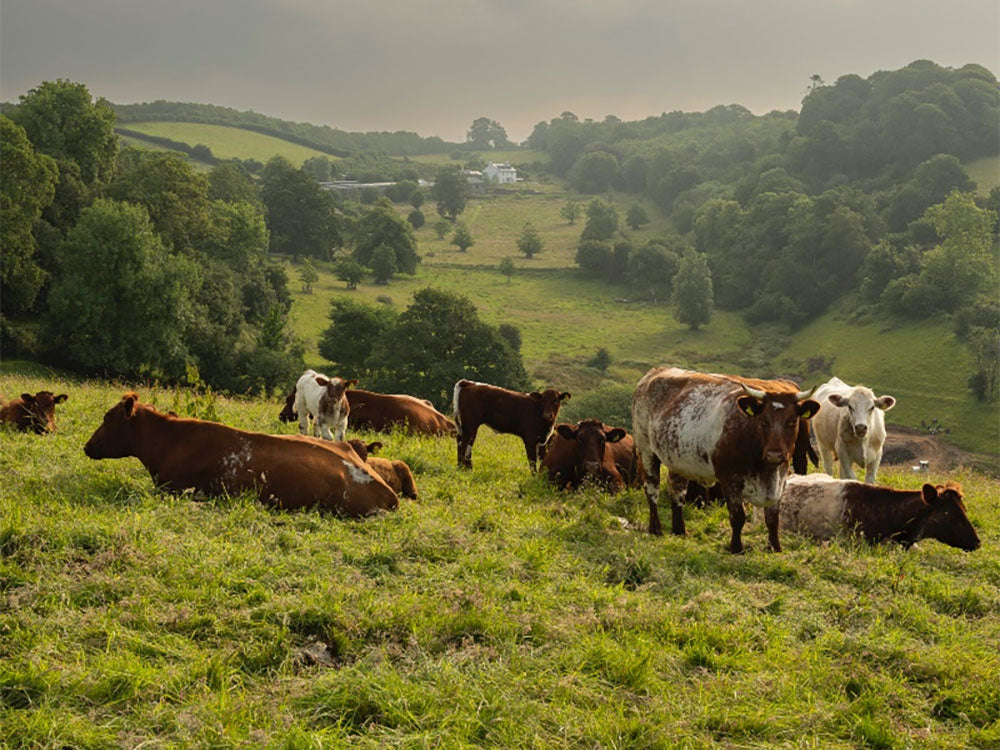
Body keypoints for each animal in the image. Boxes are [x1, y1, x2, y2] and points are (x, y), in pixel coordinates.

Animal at [631, 367, 820, 553]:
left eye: (792, 421)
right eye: (763, 421)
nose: (775, 454)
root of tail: (656, 371)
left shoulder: (780, 479)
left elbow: (773, 519)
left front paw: (775, 547)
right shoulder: (729, 479)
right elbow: (738, 517)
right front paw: (736, 547)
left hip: (677, 459)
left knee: (677, 490)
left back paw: (679, 531)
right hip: (646, 450)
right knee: (652, 489)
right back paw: (655, 529)